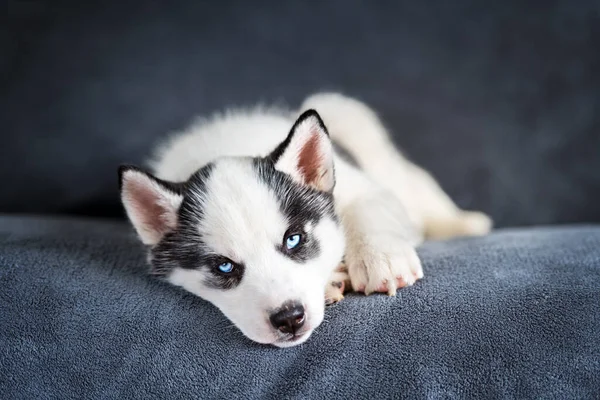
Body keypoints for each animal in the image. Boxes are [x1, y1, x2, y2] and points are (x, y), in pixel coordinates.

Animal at [118, 93, 492, 346]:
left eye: (293, 239)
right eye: (223, 266)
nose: (289, 319)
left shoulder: (367, 189)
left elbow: (369, 209)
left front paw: (382, 260)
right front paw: (328, 281)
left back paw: (465, 224)